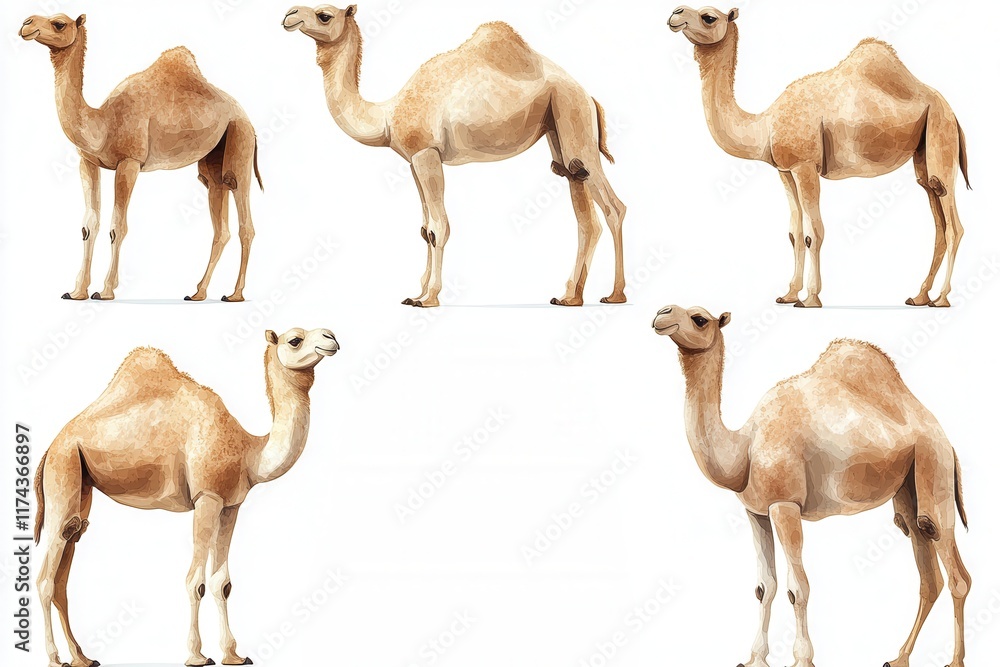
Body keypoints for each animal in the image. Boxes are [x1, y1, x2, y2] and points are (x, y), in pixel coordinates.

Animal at [21, 13, 263, 302]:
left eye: (59, 23)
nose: (26, 24)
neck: (103, 123)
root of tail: (247, 117)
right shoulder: (88, 162)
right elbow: (89, 225)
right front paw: (77, 291)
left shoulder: (130, 162)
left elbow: (118, 226)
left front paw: (105, 291)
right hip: (212, 165)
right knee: (220, 224)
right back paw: (198, 293)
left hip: (240, 140)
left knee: (245, 219)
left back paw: (235, 294)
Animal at [34, 327, 339, 667]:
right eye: (295, 339)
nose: (331, 338)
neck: (249, 452)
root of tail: (50, 447)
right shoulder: (206, 498)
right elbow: (196, 581)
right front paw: (196, 655)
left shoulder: (230, 505)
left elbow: (222, 582)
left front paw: (233, 654)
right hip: (64, 468)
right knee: (46, 578)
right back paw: (54, 658)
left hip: (81, 490)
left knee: (64, 570)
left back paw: (82, 657)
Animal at [283, 5, 626, 307]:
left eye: (324, 15)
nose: (289, 14)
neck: (387, 117)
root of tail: (589, 96)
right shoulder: (413, 161)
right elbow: (424, 229)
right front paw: (417, 293)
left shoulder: (427, 153)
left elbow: (438, 227)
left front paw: (429, 298)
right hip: (560, 133)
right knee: (585, 215)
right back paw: (570, 297)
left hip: (574, 119)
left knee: (613, 208)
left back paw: (615, 295)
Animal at [652, 304, 971, 667]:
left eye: (700, 319)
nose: (661, 314)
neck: (744, 449)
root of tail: (946, 438)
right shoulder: (756, 512)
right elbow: (765, 587)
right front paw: (754, 658)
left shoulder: (785, 505)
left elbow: (797, 588)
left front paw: (802, 659)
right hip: (907, 489)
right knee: (927, 571)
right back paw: (898, 657)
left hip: (934, 465)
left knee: (952, 566)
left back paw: (955, 660)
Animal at [669, 6, 970, 308]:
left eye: (709, 17)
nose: (675, 13)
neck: (765, 125)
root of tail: (953, 112)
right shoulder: (785, 170)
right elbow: (794, 232)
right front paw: (789, 293)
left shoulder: (806, 166)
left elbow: (813, 232)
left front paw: (810, 298)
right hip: (924, 156)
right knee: (938, 221)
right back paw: (920, 296)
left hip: (940, 134)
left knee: (954, 226)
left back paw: (941, 298)